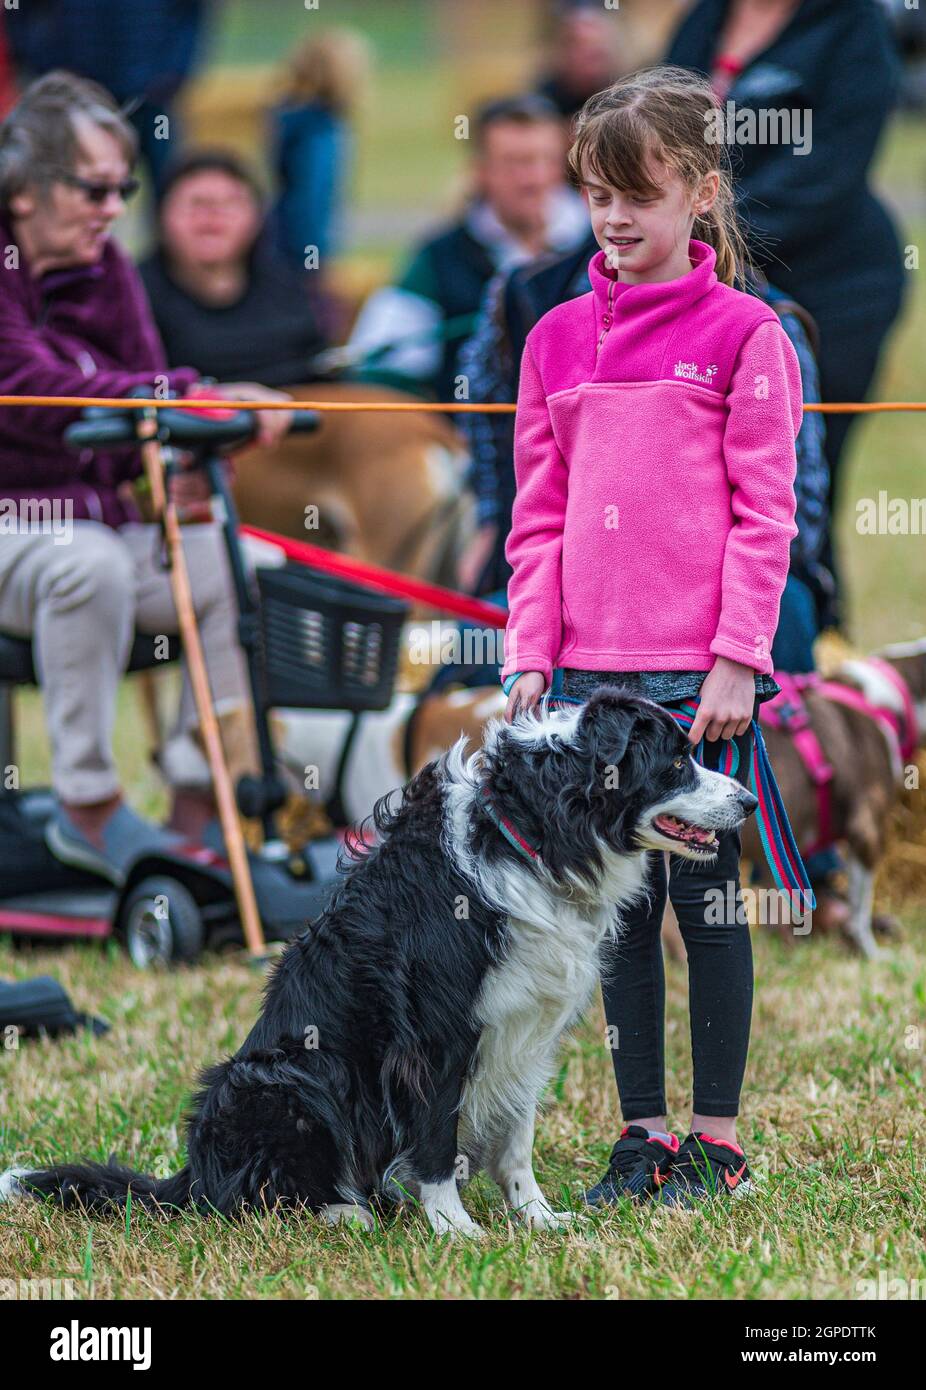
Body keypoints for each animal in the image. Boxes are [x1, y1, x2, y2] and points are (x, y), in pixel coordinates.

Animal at [3, 686, 756, 1239]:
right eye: (676, 763)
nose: (749, 801)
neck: (535, 835)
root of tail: (190, 1174)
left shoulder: (526, 1031)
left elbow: (515, 1141)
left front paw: (539, 1219)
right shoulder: (437, 1035)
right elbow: (433, 1138)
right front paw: (455, 1229)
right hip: (280, 1080)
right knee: (248, 1196)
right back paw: (344, 1211)